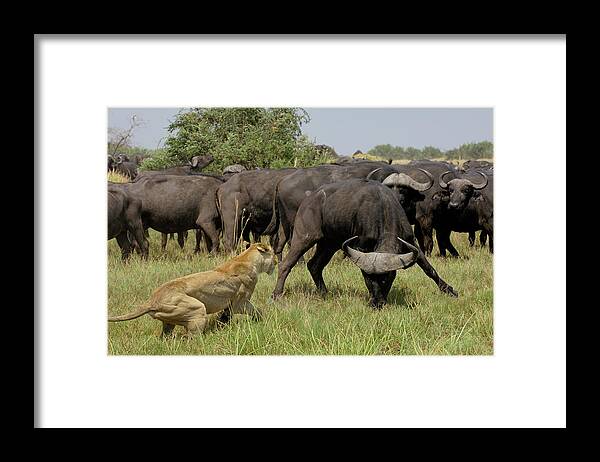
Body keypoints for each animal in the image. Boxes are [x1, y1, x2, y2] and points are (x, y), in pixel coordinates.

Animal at [272, 179, 460, 308]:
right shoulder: (360, 247)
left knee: (314, 265)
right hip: (304, 237)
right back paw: (277, 295)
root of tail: (308, 200)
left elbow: (429, 269)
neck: (383, 207)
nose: (376, 303)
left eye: (385, 278)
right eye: (368, 278)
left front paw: (449, 290)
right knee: (286, 264)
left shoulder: (410, 242)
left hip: (329, 244)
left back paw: (324, 293)